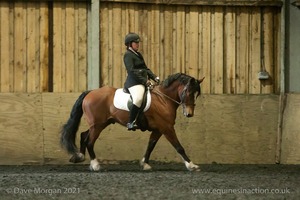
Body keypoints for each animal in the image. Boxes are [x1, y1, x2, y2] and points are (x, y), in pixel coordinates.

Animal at [60, 72, 204, 171]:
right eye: (188, 92)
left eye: (196, 94)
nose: (189, 114)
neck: (163, 99)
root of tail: (90, 92)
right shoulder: (166, 128)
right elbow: (178, 146)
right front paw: (191, 165)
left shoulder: (158, 129)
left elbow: (150, 145)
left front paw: (144, 164)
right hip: (97, 125)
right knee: (89, 141)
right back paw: (95, 165)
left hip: (101, 123)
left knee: (84, 135)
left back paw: (79, 157)